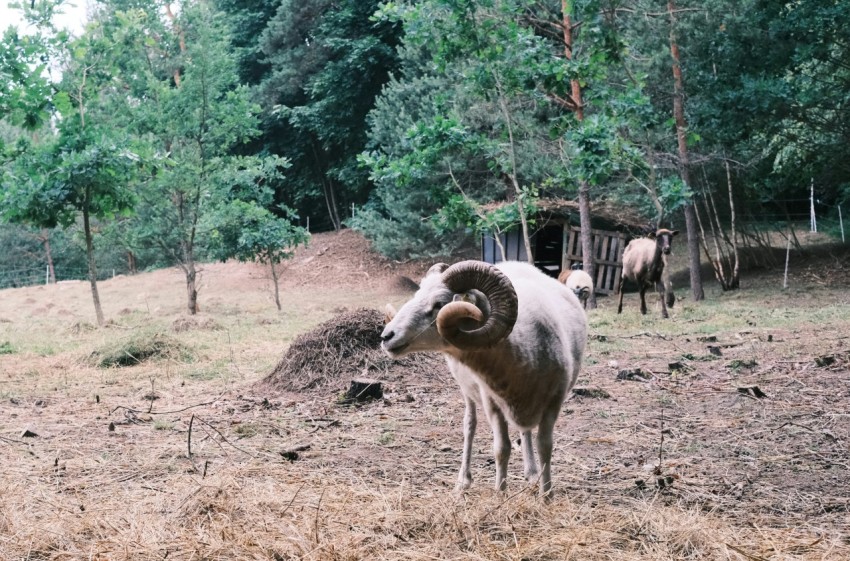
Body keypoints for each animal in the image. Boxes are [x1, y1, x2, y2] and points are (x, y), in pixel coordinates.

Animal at [378, 258, 584, 494]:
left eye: (439, 303)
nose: (386, 336)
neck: (525, 350)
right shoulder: (491, 402)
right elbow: (502, 449)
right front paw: (500, 495)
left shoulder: (554, 402)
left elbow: (545, 447)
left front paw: (547, 494)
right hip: (466, 388)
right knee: (470, 424)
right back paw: (463, 480)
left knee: (525, 432)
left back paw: (531, 473)